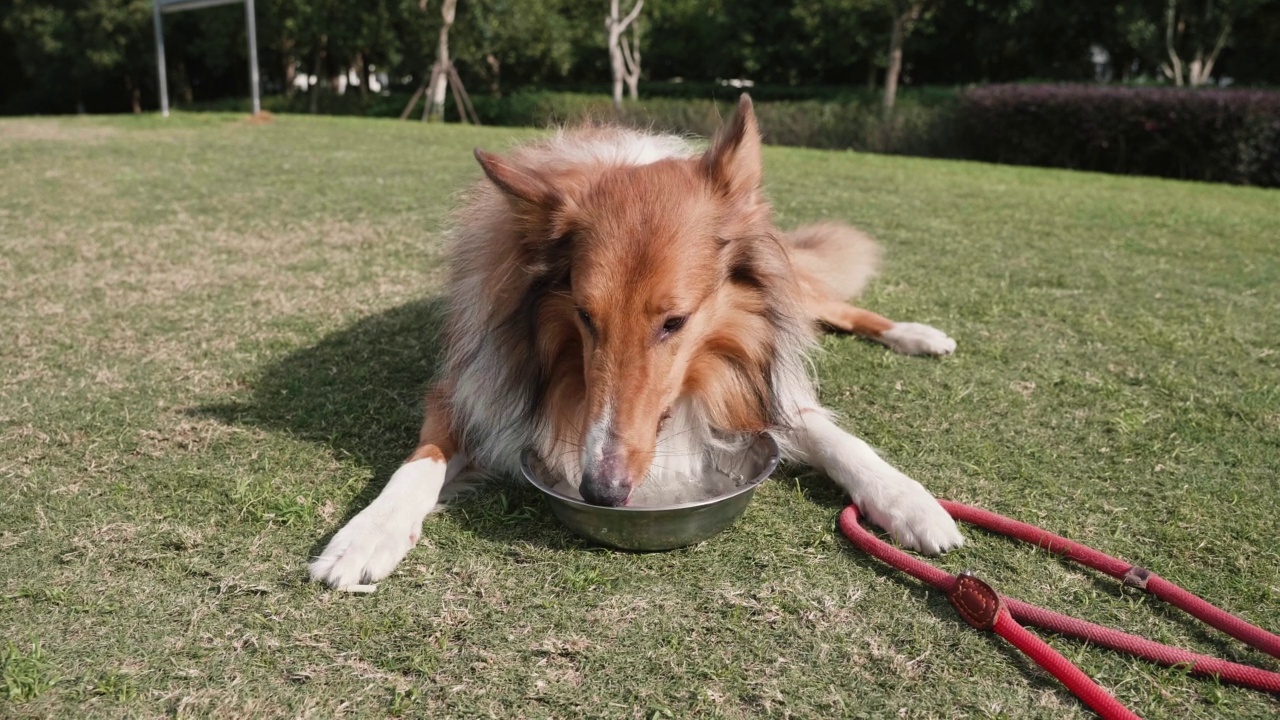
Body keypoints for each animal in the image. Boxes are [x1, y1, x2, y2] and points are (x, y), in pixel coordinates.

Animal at [312, 95, 962, 586]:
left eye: (675, 322)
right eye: (583, 315)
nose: (600, 491)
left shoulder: (760, 376)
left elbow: (833, 437)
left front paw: (908, 501)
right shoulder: (467, 386)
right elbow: (420, 461)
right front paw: (364, 535)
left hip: (800, 292)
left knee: (838, 306)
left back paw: (918, 335)